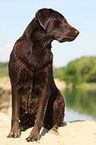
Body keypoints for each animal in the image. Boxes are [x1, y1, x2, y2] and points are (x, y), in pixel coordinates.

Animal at [7, 8, 79, 142]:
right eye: (60, 20)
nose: (78, 32)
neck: (38, 47)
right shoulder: (15, 85)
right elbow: (14, 113)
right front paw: (14, 132)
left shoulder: (45, 87)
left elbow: (40, 115)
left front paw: (34, 136)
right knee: (25, 120)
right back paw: (22, 126)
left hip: (59, 99)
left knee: (56, 123)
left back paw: (53, 130)